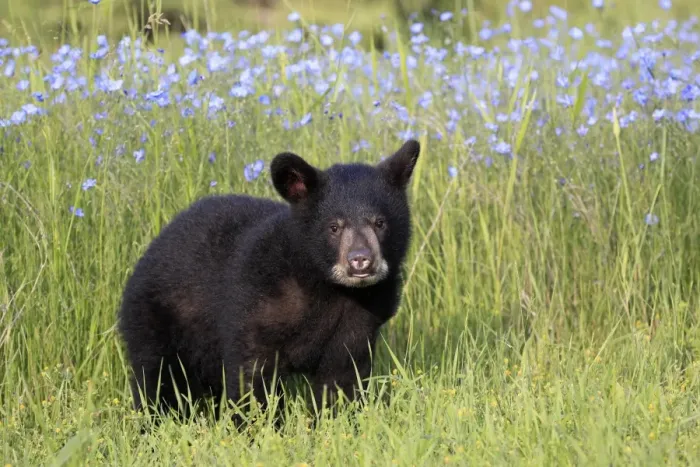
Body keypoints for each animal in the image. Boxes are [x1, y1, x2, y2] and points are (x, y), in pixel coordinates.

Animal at [117, 139, 421, 424]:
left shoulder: (360, 319)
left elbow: (343, 375)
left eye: (380, 223)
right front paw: (257, 428)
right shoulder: (257, 302)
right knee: (157, 377)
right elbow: (252, 376)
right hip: (157, 318)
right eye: (334, 226)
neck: (325, 288)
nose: (360, 260)